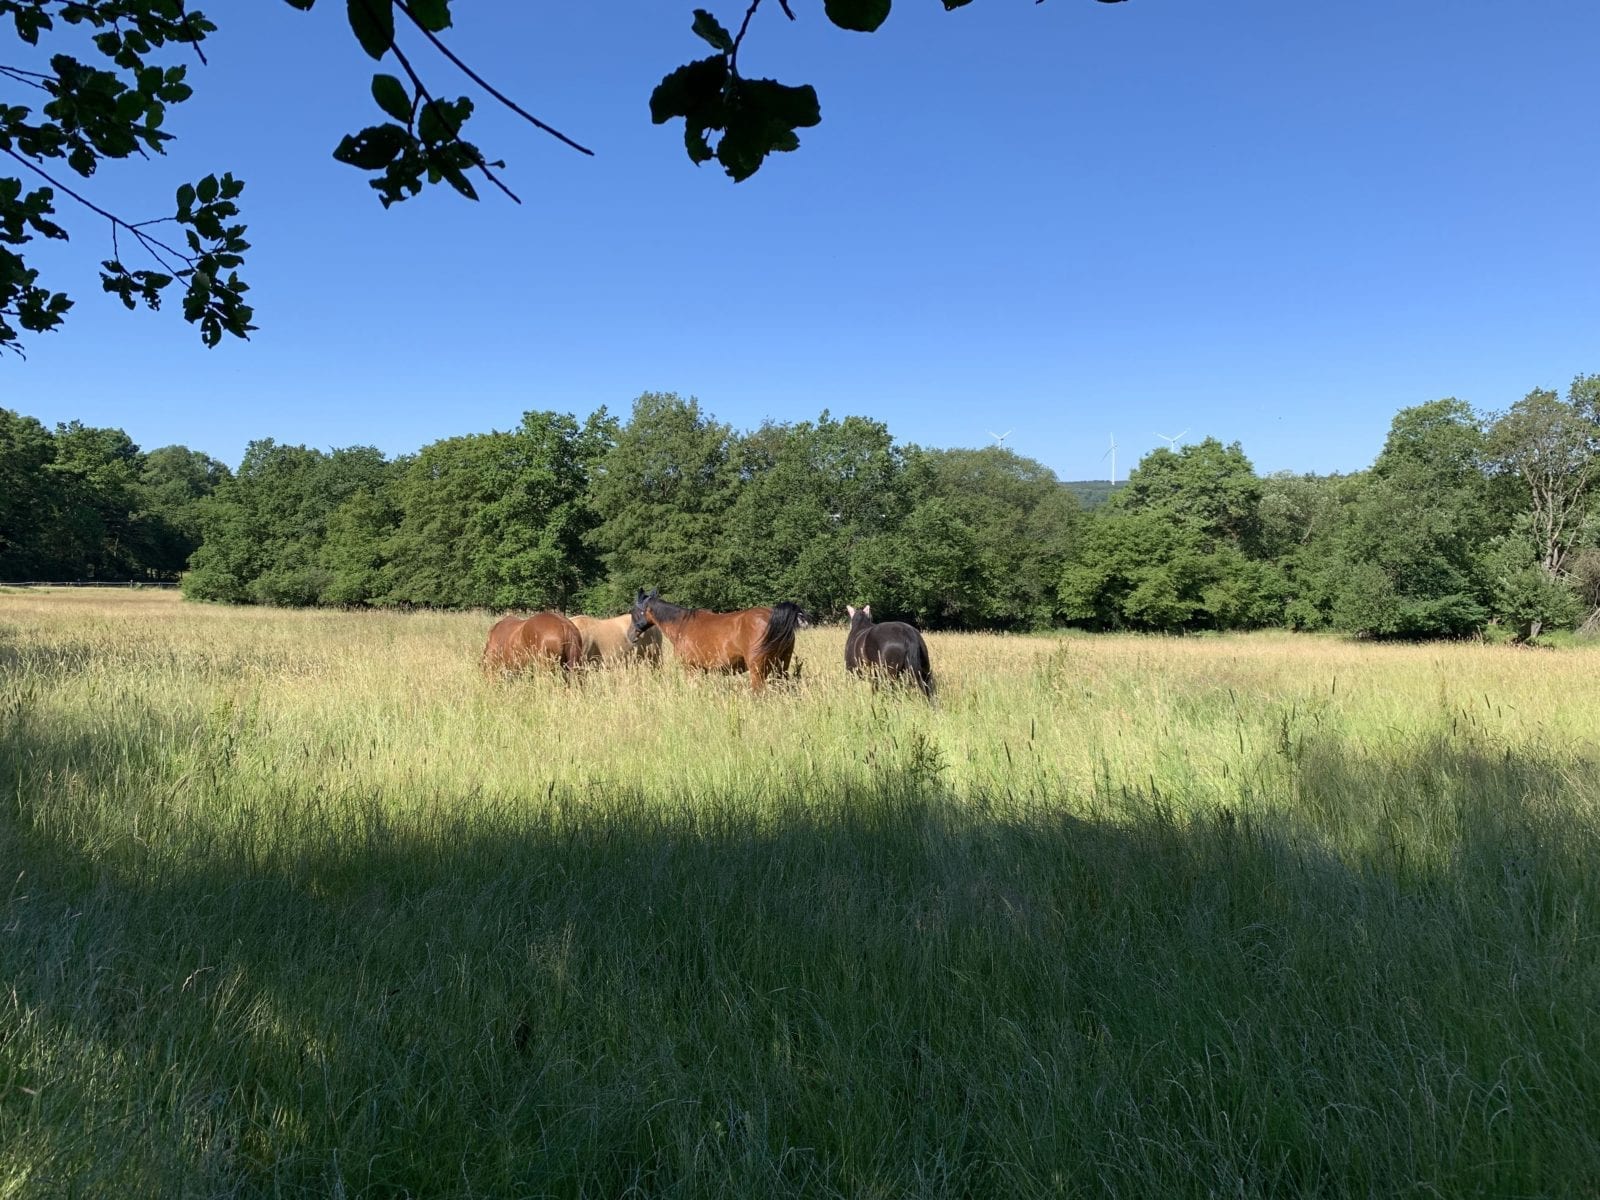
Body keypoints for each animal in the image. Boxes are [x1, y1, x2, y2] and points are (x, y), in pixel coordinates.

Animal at [629, 588, 803, 693]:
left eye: (633, 611)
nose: (630, 635)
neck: (681, 625)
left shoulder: (691, 669)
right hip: (781, 666)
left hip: (758, 671)